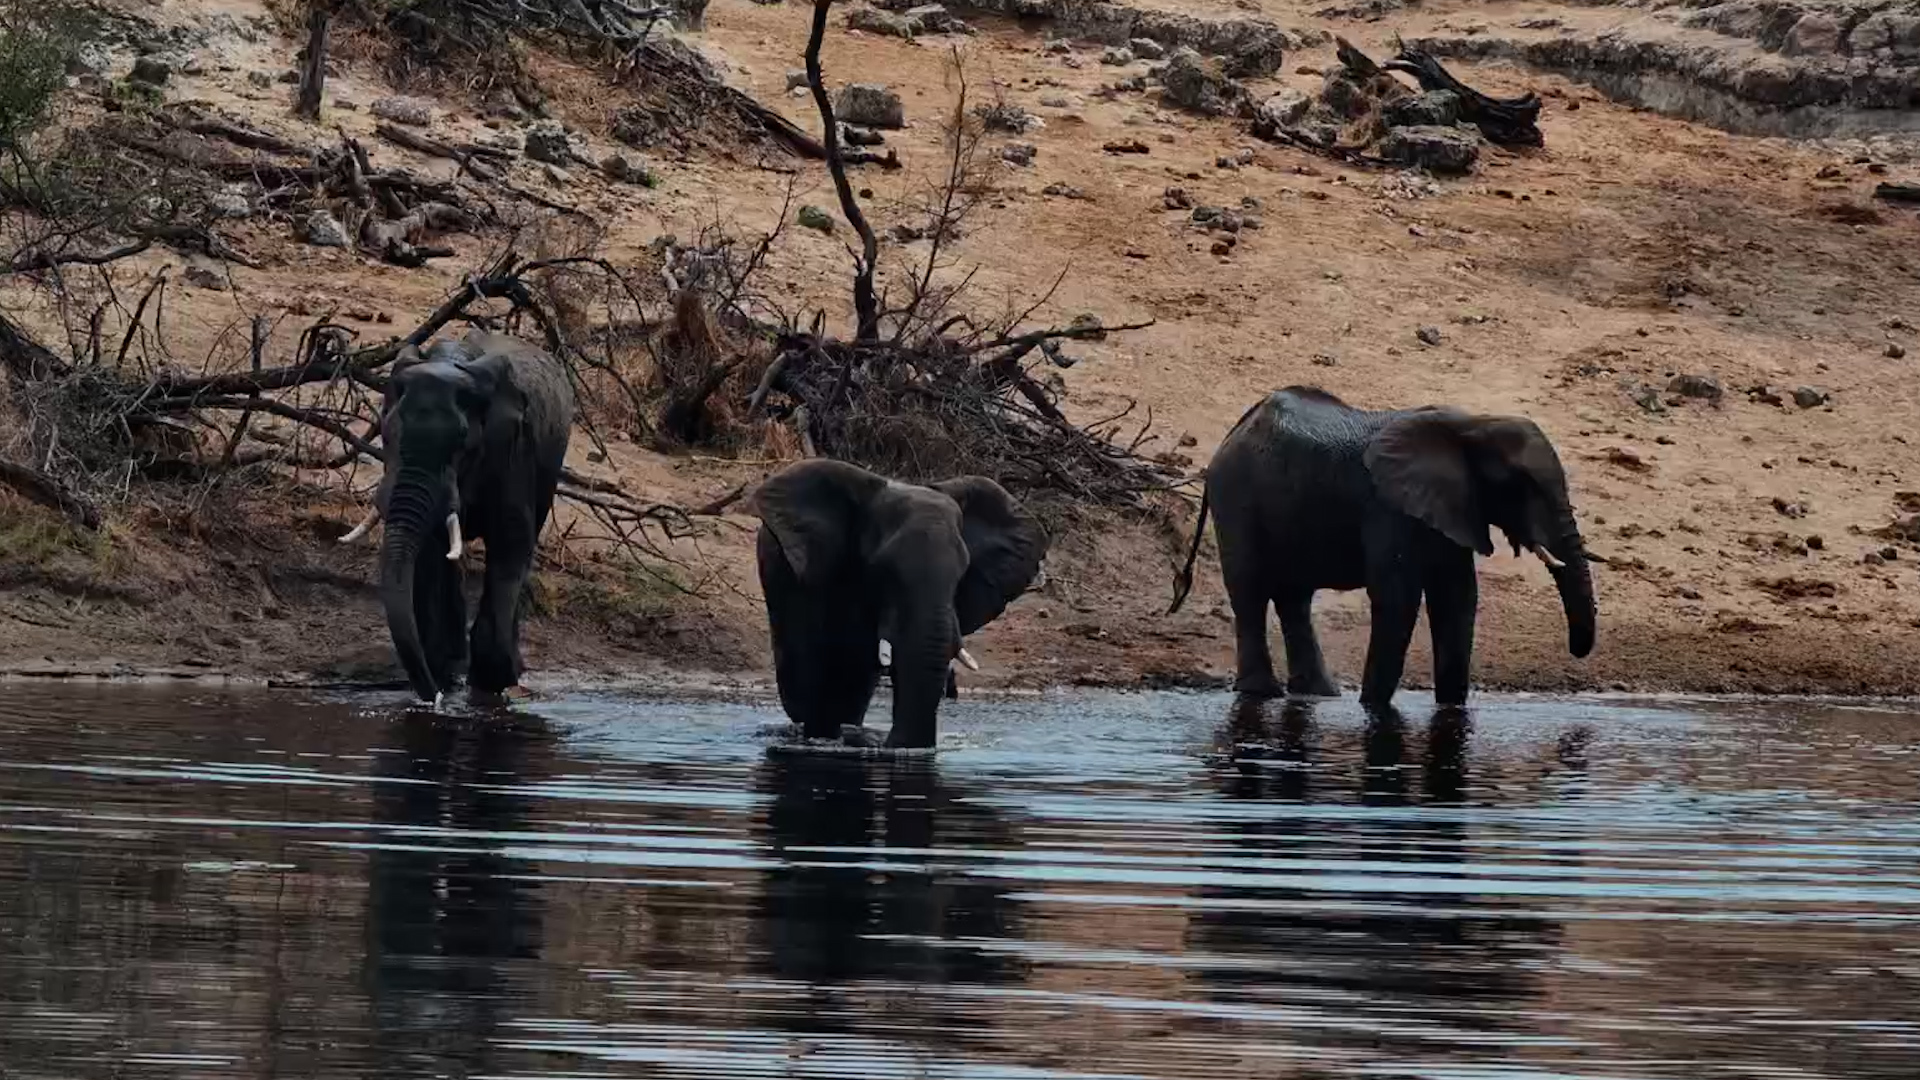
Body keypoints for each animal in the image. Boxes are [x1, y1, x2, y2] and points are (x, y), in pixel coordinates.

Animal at [339, 330, 574, 704]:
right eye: (386, 434)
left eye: (463, 442)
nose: (433, 698)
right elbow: (432, 550)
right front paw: (446, 676)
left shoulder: (513, 454)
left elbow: (511, 543)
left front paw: (493, 683)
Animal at [1169, 386, 1595, 708]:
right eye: (1520, 484)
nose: (1576, 652)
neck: (1472, 424)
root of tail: (1234, 431)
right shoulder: (1386, 505)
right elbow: (1397, 597)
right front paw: (1372, 707)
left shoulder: (1452, 505)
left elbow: (1457, 598)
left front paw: (1451, 709)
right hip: (1235, 497)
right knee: (1251, 591)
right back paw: (1263, 694)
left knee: (1294, 598)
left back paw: (1320, 695)